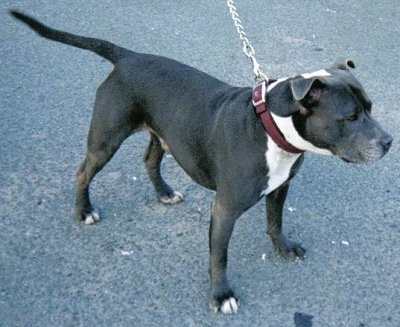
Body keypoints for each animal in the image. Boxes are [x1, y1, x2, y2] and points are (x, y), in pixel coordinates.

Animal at [10, 10, 392, 316]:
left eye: (370, 108)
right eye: (351, 117)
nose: (388, 142)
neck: (272, 124)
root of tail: (128, 57)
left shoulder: (280, 187)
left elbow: (275, 221)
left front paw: (282, 247)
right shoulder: (224, 208)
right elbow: (218, 256)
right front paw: (221, 296)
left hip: (164, 132)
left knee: (149, 159)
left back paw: (164, 193)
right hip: (107, 139)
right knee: (83, 171)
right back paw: (84, 210)